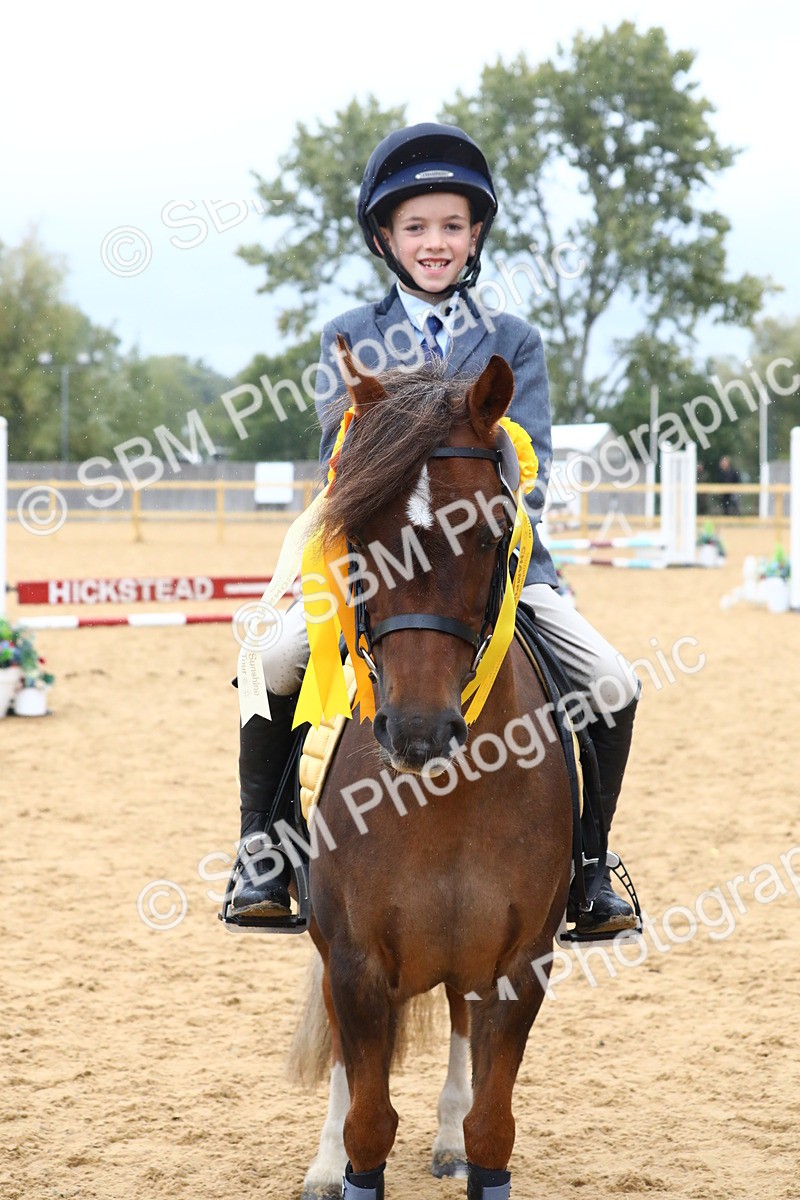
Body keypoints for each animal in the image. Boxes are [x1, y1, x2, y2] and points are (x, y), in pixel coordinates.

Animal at [294, 343, 573, 1200]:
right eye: (357, 531)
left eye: (489, 535)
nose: (418, 732)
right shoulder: (354, 961)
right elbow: (367, 1122)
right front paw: (340, 1160)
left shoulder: (519, 963)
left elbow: (492, 1128)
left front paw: (464, 1140)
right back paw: (323, 1165)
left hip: (467, 961)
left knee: (455, 1022)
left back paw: (444, 1137)